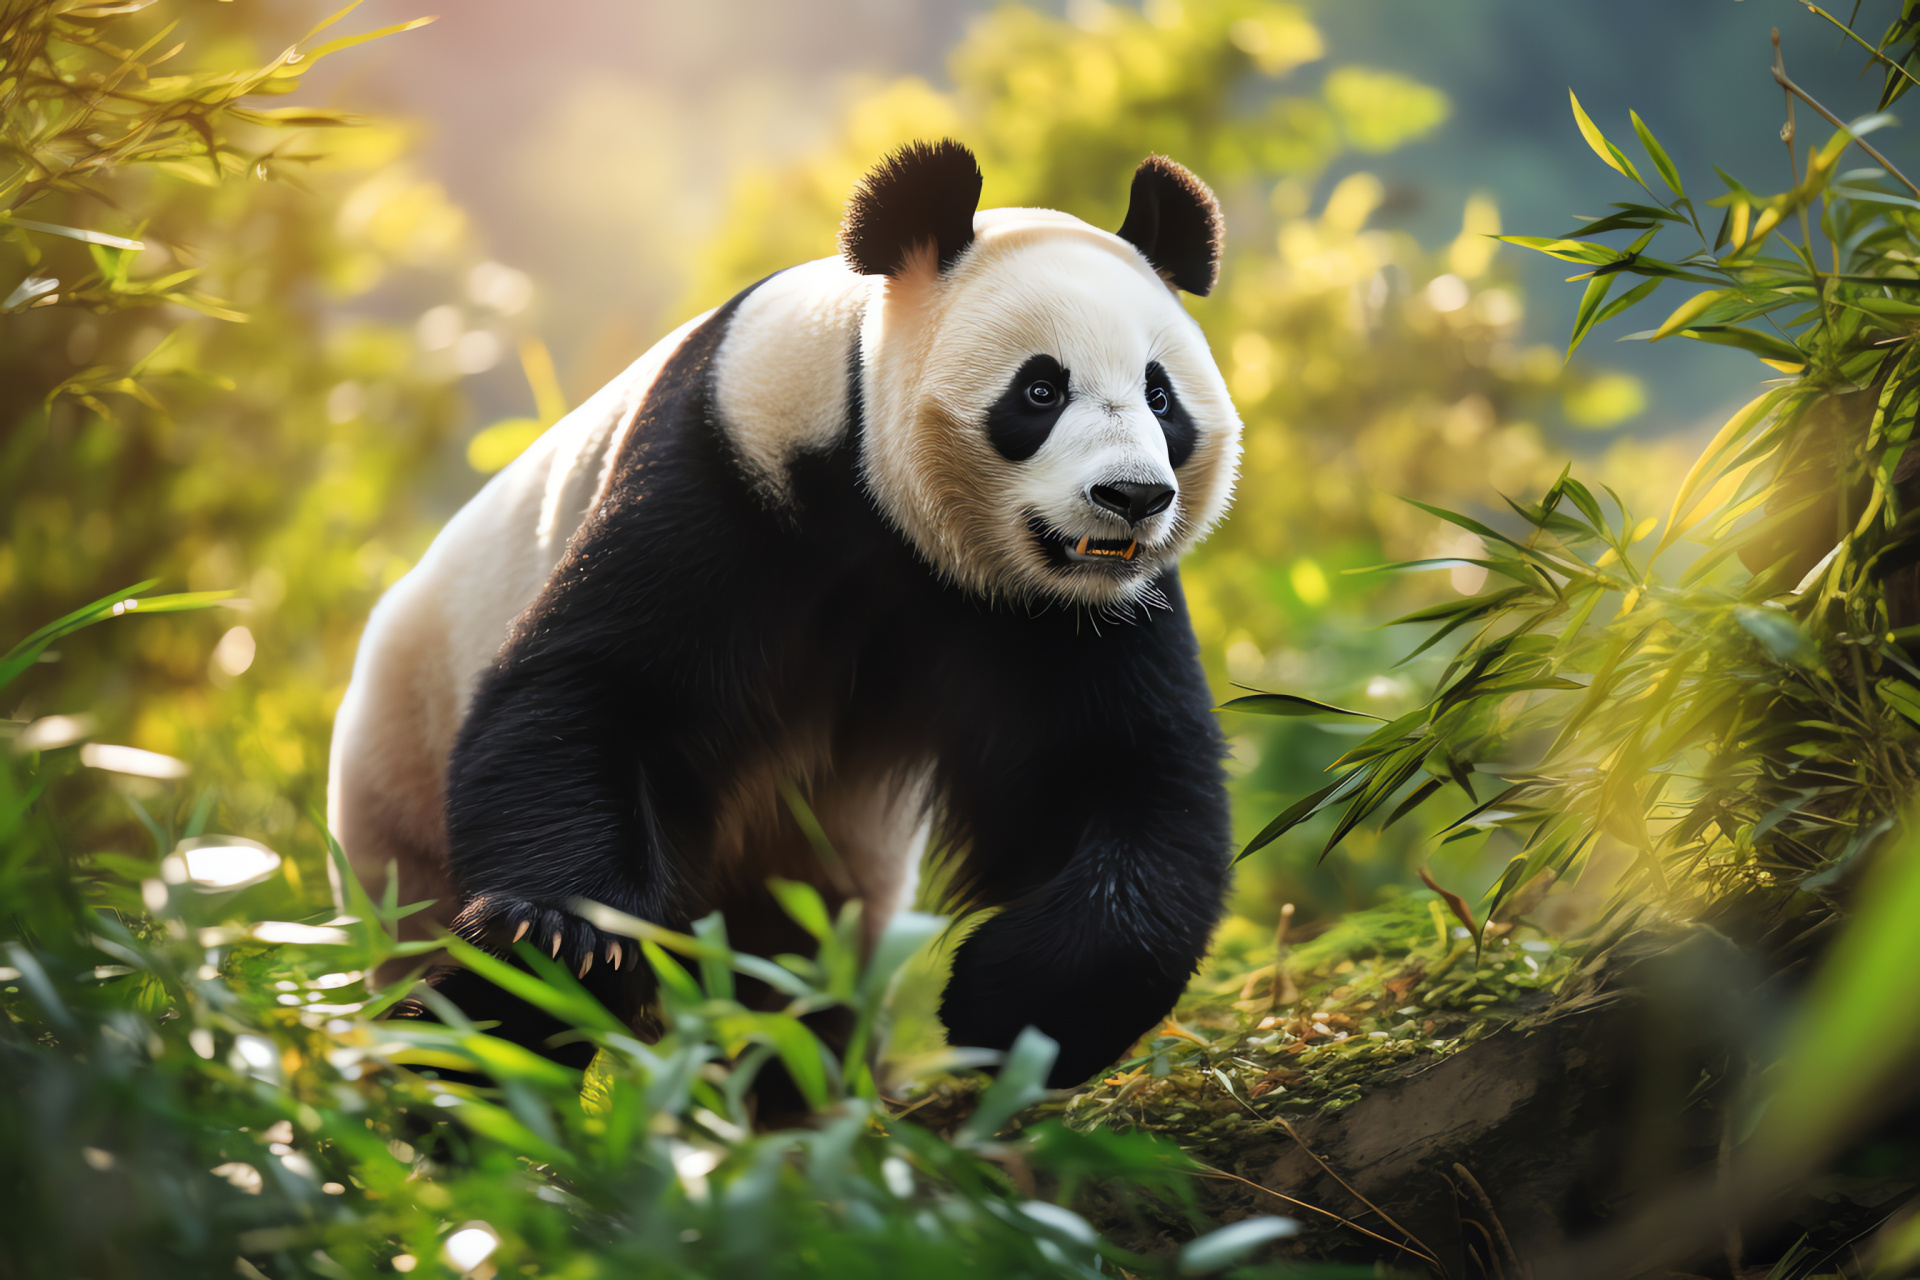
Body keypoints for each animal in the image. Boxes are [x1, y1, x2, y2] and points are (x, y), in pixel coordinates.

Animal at [330, 140, 1244, 1090]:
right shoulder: (731, 462)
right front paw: (562, 934)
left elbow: (1122, 773)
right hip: (397, 792)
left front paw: (1009, 1005)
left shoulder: (1067, 614)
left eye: (1162, 398)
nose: (1131, 498)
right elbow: (592, 692)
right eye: (1039, 391)